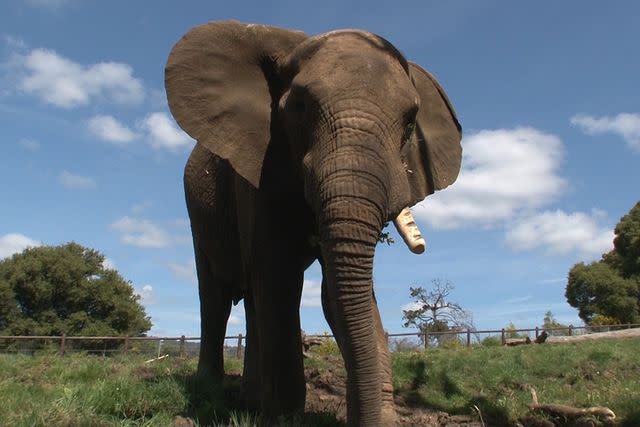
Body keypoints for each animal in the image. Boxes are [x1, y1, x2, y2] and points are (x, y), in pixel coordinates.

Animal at [164, 20, 460, 427]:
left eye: (410, 121)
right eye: (300, 107)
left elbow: (335, 292)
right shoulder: (261, 166)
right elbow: (279, 275)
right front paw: (284, 420)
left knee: (251, 298)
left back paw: (250, 402)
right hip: (197, 209)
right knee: (216, 296)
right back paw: (211, 393)